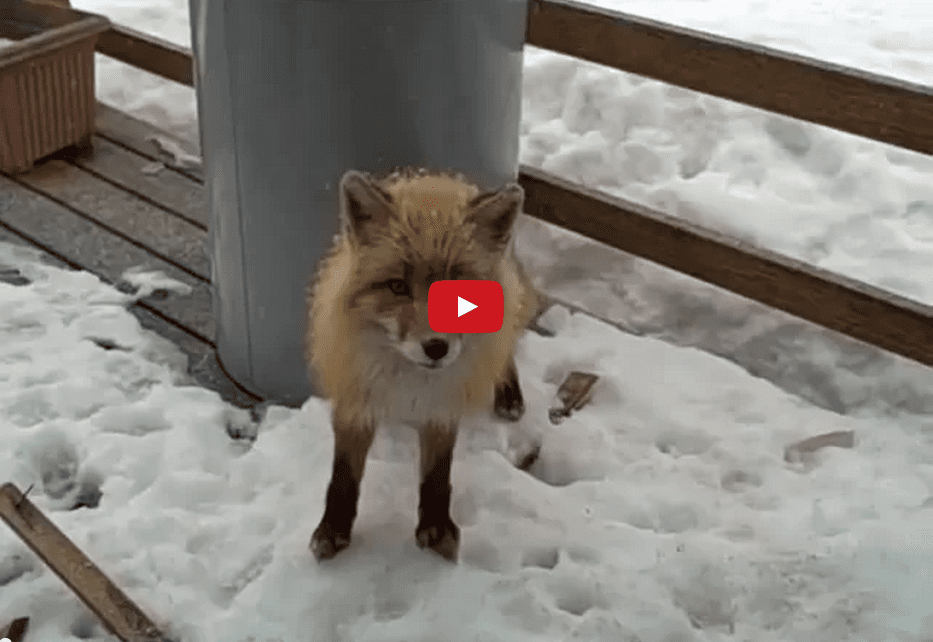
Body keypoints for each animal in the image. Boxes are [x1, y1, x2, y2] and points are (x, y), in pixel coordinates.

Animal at [305, 167, 540, 562]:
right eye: (398, 286)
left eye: (462, 292)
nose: (436, 348)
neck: (410, 381)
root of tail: (439, 180)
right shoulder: (356, 398)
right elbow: (344, 475)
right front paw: (333, 528)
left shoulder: (442, 405)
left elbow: (436, 476)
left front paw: (435, 527)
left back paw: (508, 393)